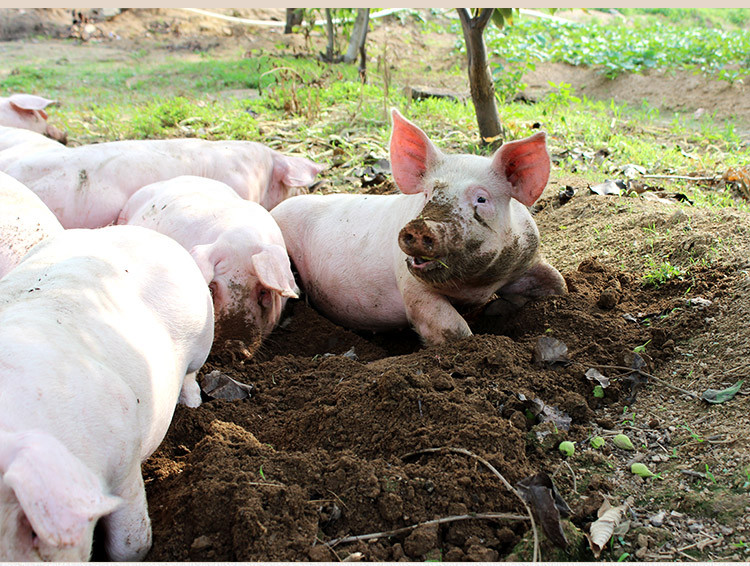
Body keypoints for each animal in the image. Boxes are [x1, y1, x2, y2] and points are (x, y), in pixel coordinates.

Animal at [0, 224, 214, 560]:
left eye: (33, 530)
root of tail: (140, 230)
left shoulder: (123, 458)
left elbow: (130, 543)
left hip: (204, 333)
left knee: (191, 375)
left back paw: (192, 405)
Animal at [274, 107, 568, 346]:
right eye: (427, 194)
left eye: (481, 199)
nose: (421, 225)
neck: (474, 286)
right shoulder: (411, 287)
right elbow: (453, 329)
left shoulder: (527, 257)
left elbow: (558, 283)